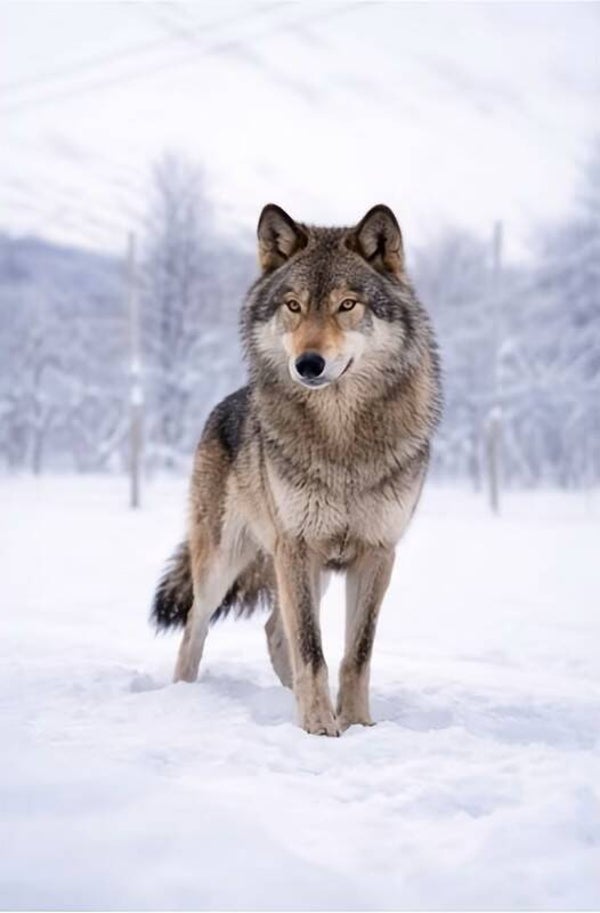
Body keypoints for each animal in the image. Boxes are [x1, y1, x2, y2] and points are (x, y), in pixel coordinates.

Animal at [151, 203, 441, 736]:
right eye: (293, 305)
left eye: (347, 305)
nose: (308, 364)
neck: (341, 440)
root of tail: (226, 402)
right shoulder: (297, 547)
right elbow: (313, 649)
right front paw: (320, 727)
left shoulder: (376, 552)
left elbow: (354, 654)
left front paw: (357, 723)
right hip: (226, 561)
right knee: (195, 628)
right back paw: (185, 698)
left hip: (312, 571)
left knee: (272, 629)